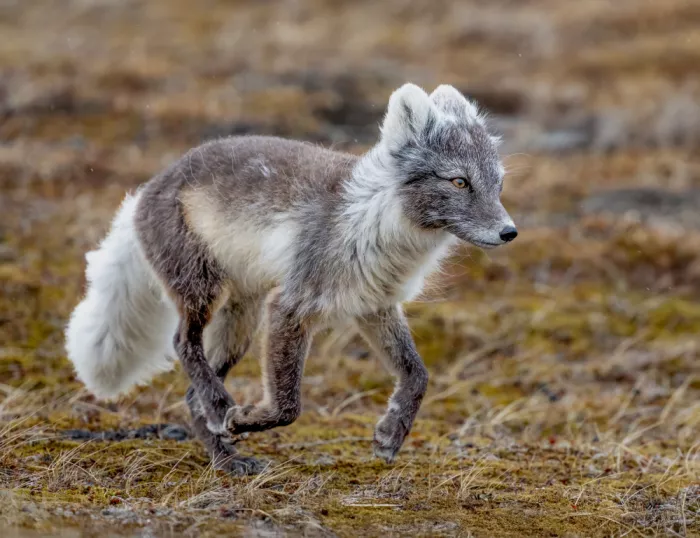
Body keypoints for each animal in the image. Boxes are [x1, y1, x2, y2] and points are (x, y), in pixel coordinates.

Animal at [65, 83, 517, 474]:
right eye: (459, 181)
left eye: (498, 183)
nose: (509, 232)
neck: (376, 221)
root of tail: (147, 189)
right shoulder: (291, 305)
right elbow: (287, 406)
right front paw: (245, 418)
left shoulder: (375, 306)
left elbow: (418, 374)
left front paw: (391, 433)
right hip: (203, 291)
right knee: (182, 344)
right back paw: (221, 412)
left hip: (241, 321)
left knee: (191, 395)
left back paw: (225, 458)